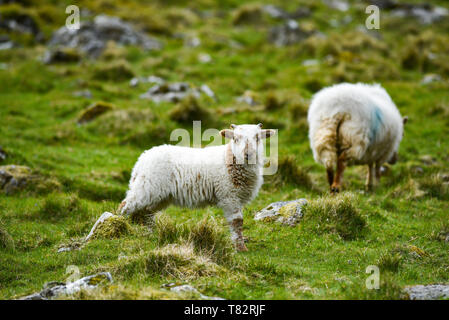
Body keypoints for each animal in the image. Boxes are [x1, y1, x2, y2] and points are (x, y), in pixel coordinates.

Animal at [117, 124, 274, 251]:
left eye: (258, 138)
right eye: (235, 138)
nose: (248, 154)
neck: (229, 159)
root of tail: (142, 158)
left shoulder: (237, 197)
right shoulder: (229, 196)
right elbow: (237, 222)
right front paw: (241, 248)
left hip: (159, 195)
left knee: (148, 212)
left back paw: (151, 233)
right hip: (145, 188)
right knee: (125, 206)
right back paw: (117, 227)